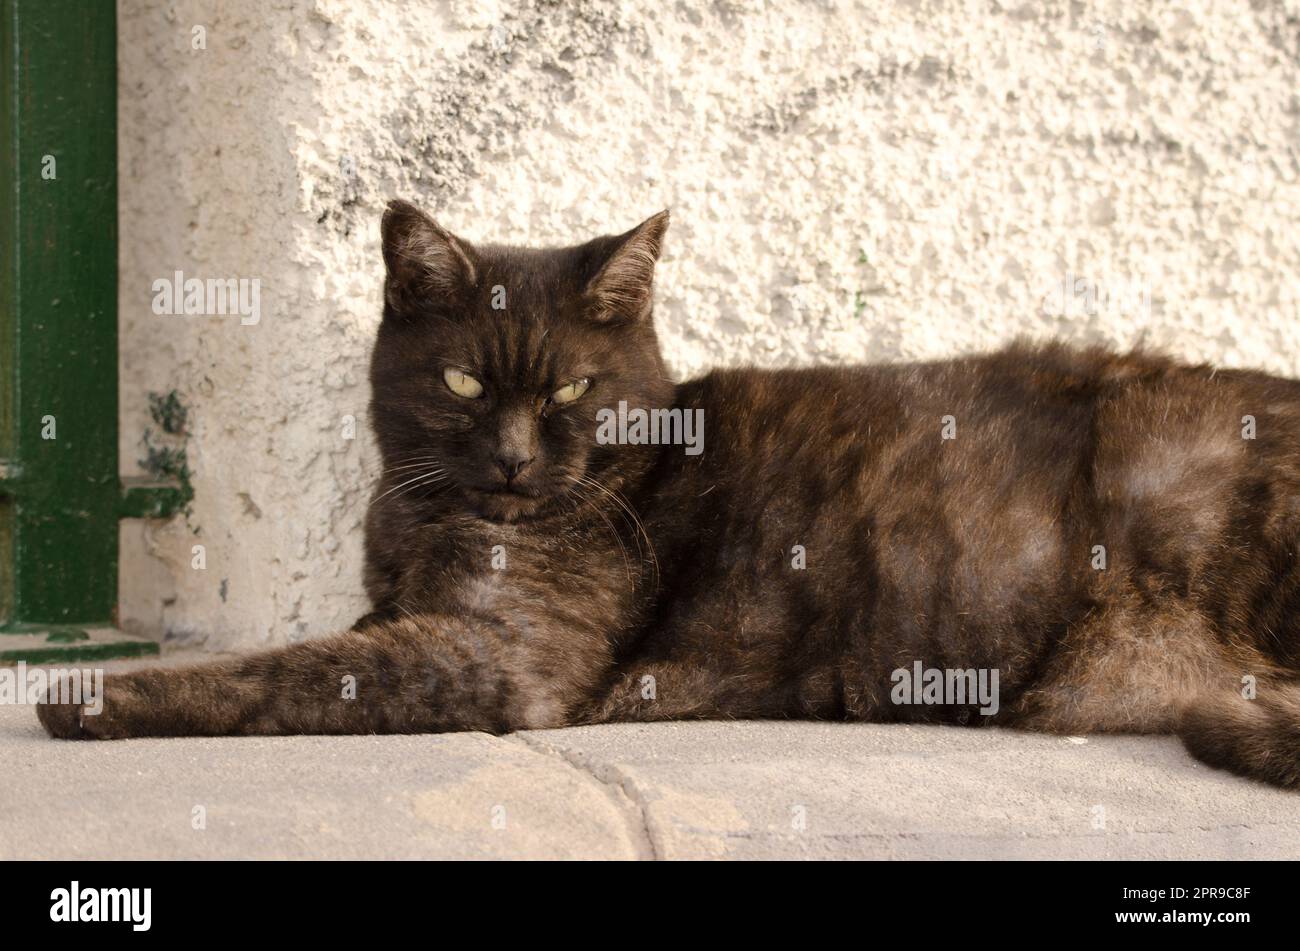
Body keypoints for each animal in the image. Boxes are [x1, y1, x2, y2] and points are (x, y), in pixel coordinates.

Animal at [35, 198, 1300, 789]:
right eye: (461, 381)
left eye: (570, 388)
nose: (513, 458)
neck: (425, 517)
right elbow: (333, 635)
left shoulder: (499, 656)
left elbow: (286, 670)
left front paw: (93, 697)